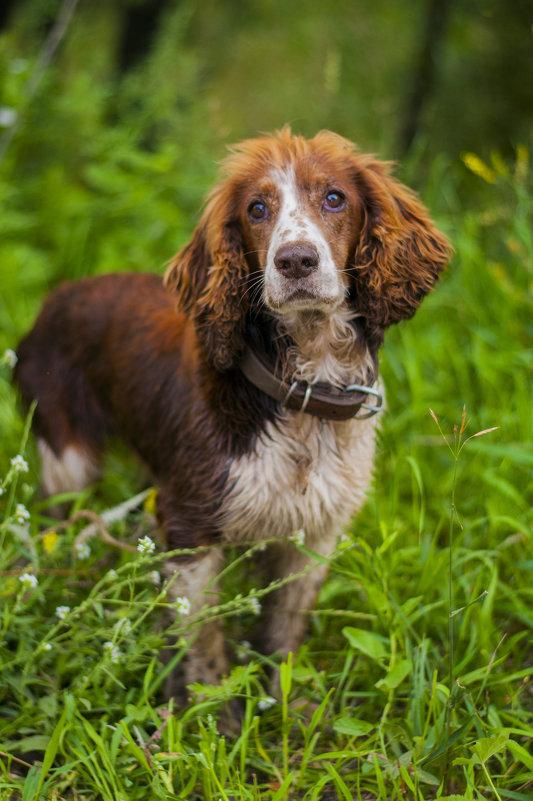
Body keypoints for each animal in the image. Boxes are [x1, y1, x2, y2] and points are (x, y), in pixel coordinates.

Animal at [15, 128, 448, 696]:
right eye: (256, 209)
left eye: (335, 198)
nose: (295, 260)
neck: (301, 396)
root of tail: (55, 298)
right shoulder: (190, 527)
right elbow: (203, 647)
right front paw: (207, 711)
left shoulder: (316, 534)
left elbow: (284, 636)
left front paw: (284, 706)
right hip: (67, 462)